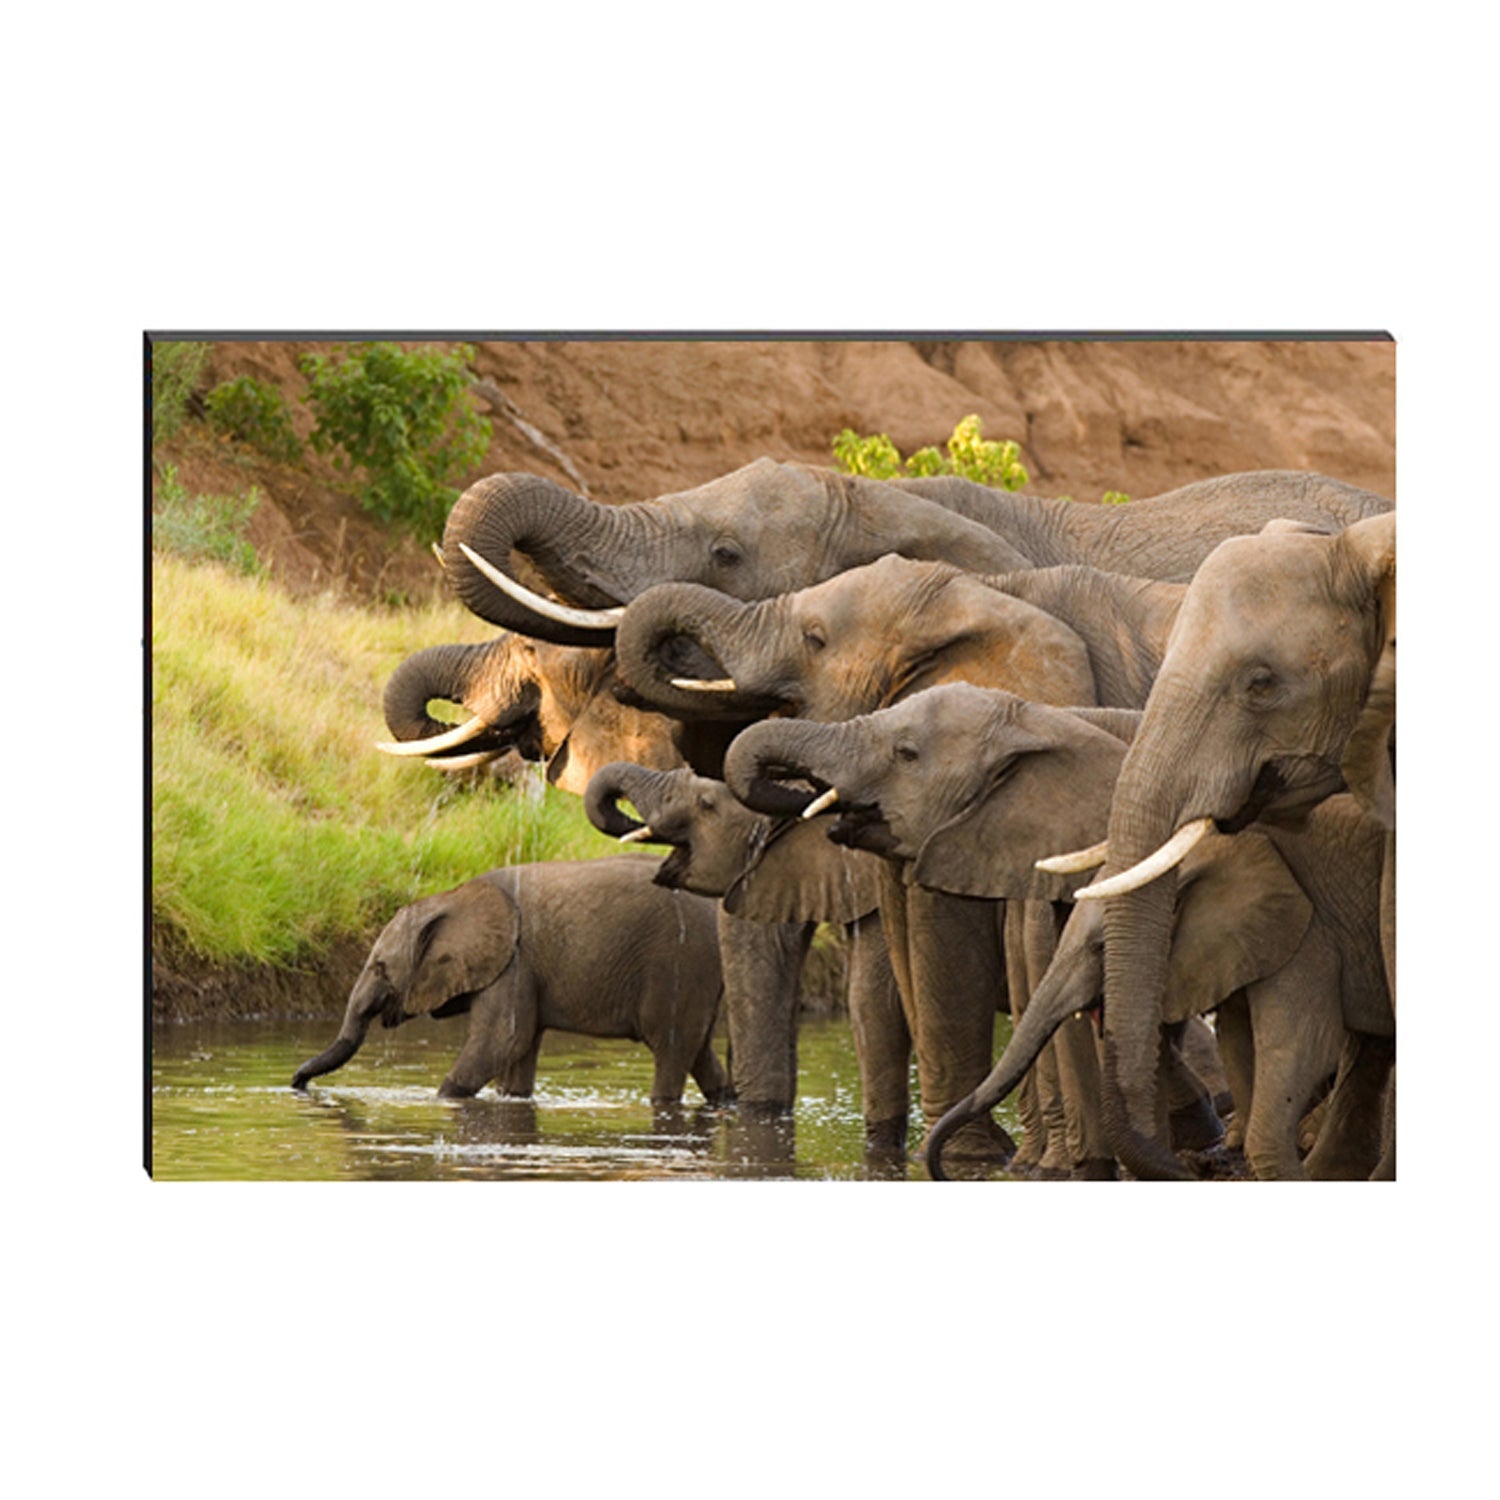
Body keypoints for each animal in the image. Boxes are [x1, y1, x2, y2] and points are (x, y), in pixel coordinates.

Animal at [290, 856, 730, 1106]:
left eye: (380, 967)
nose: (295, 1082)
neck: (453, 896)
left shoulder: (514, 962)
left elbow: (502, 1040)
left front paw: (441, 1099)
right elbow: (518, 1049)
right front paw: (510, 1098)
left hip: (681, 964)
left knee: (671, 1050)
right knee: (699, 1050)